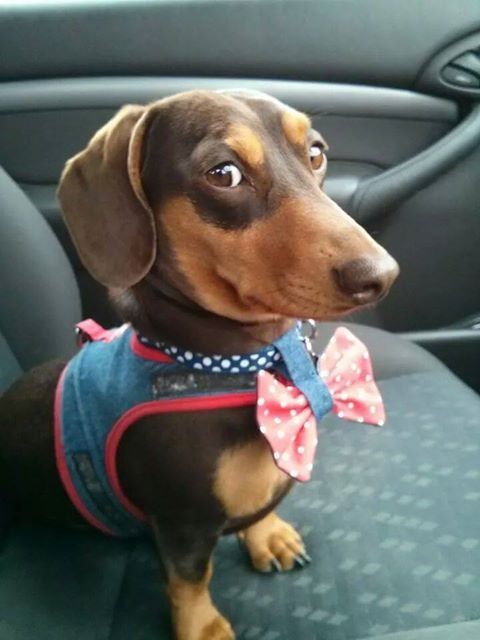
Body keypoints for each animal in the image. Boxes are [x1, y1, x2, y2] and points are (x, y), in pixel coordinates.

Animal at [0, 90, 398, 640]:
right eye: (223, 173)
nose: (381, 275)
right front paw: (202, 626)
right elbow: (190, 580)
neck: (235, 365)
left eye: (315, 153)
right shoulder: (182, 523)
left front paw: (266, 534)